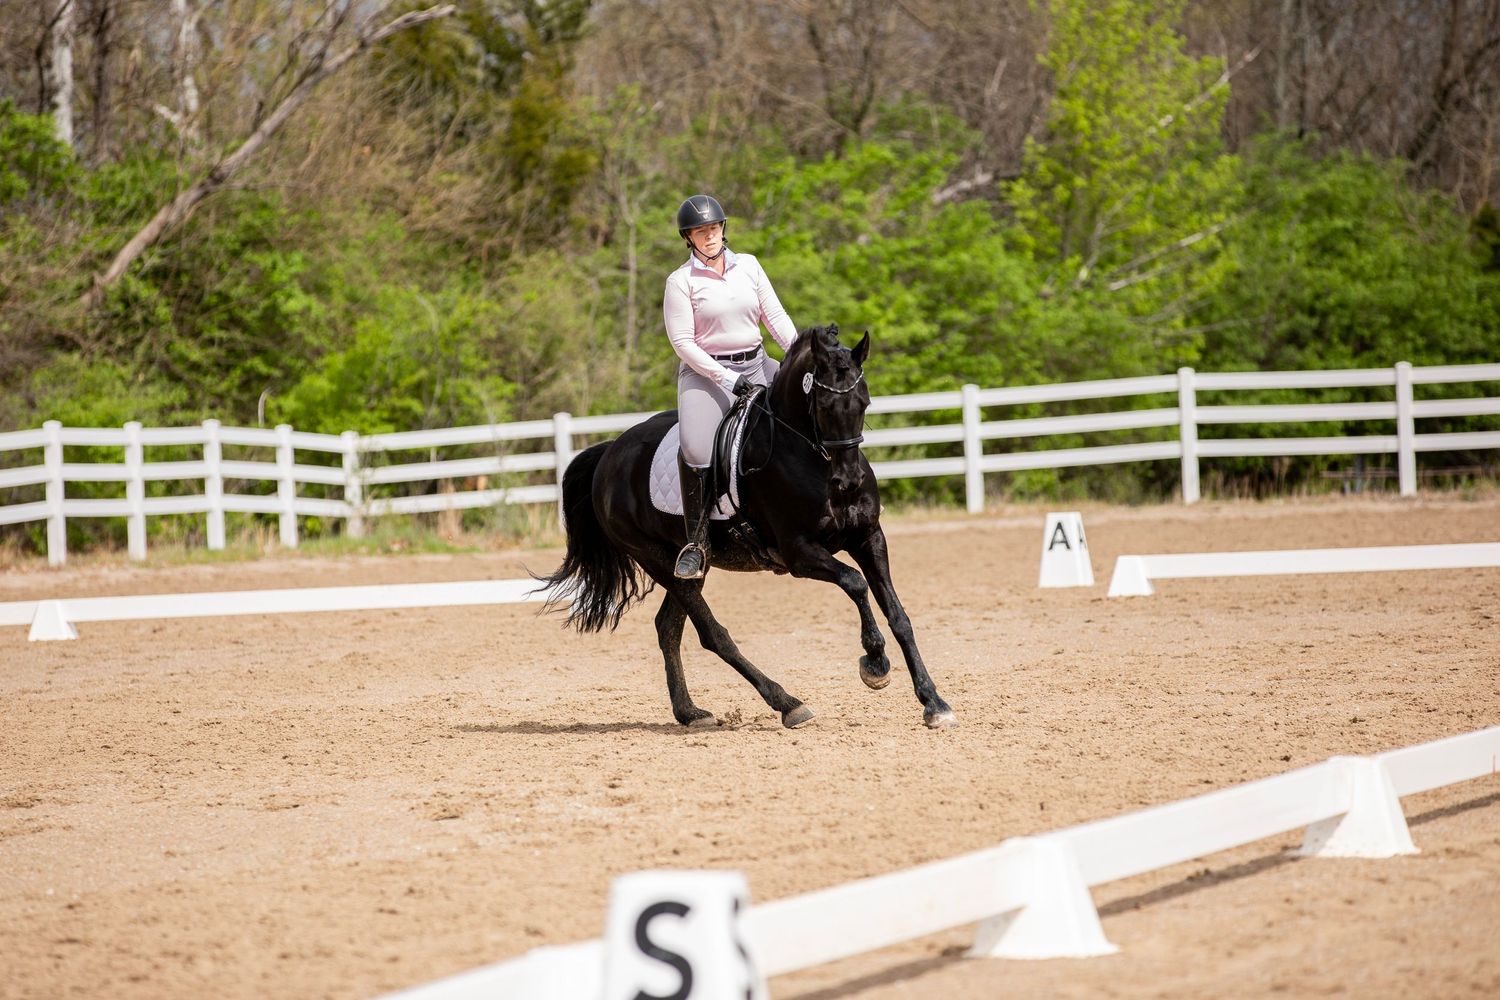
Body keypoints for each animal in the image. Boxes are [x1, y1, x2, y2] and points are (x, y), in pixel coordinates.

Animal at [535, 324, 956, 730]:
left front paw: (933, 703)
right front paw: (875, 662)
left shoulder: (869, 538)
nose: (849, 482)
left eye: (864, 402)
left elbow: (899, 616)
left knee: (668, 628)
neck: (810, 457)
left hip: (688, 566)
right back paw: (788, 704)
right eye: (823, 406)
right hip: (658, 560)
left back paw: (690, 713)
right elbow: (855, 583)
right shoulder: (799, 553)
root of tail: (610, 453)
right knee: (712, 635)